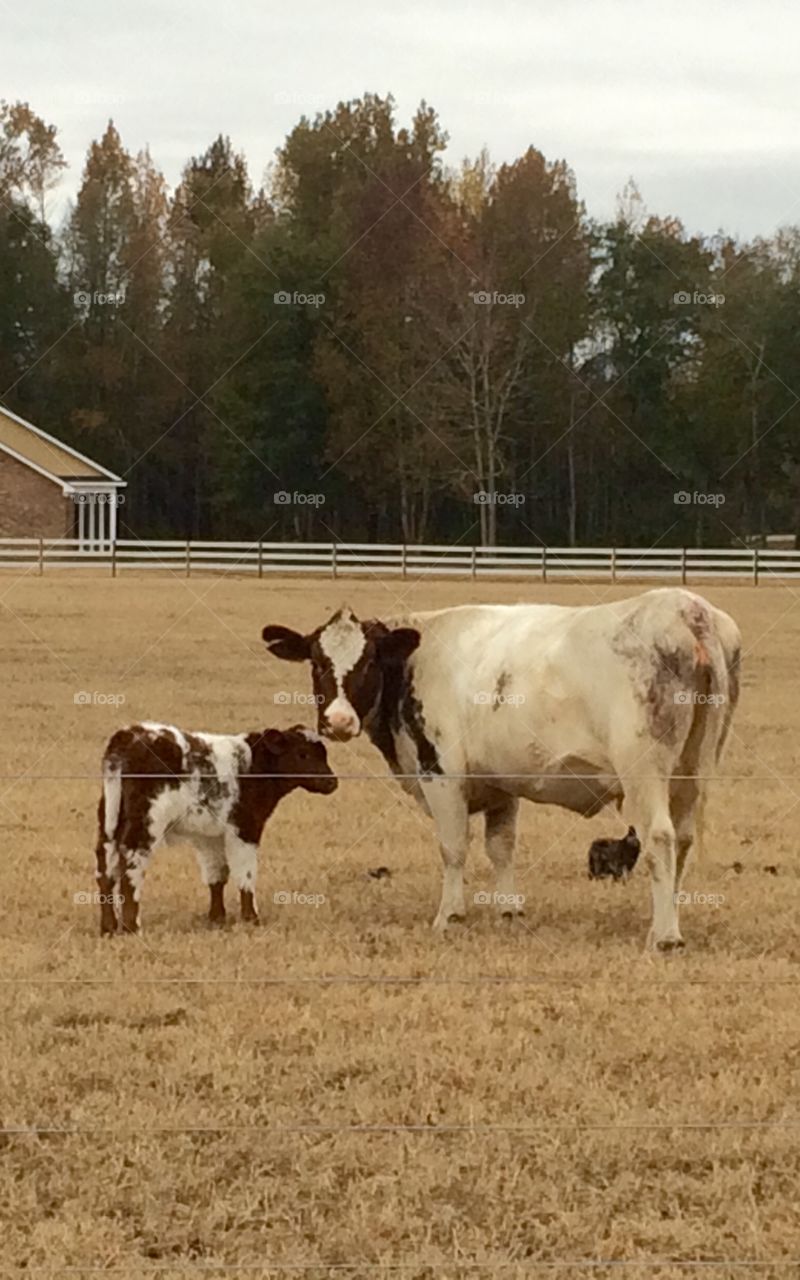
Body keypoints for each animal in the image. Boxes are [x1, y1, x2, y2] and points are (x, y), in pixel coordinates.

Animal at [94, 727, 337, 936]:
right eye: (303, 754)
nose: (332, 783)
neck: (251, 767)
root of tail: (128, 734)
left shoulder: (208, 836)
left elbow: (216, 875)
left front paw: (217, 918)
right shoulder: (245, 829)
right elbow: (245, 874)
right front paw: (251, 918)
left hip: (109, 821)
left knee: (105, 870)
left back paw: (108, 927)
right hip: (145, 823)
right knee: (131, 867)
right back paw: (131, 927)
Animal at [263, 588, 742, 952]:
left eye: (366, 663)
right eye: (317, 663)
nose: (339, 722)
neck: (416, 658)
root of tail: (689, 610)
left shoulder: (442, 775)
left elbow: (454, 848)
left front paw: (449, 914)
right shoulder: (501, 785)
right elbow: (501, 846)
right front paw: (509, 909)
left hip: (645, 772)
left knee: (660, 838)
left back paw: (665, 935)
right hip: (694, 769)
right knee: (683, 840)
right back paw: (669, 919)